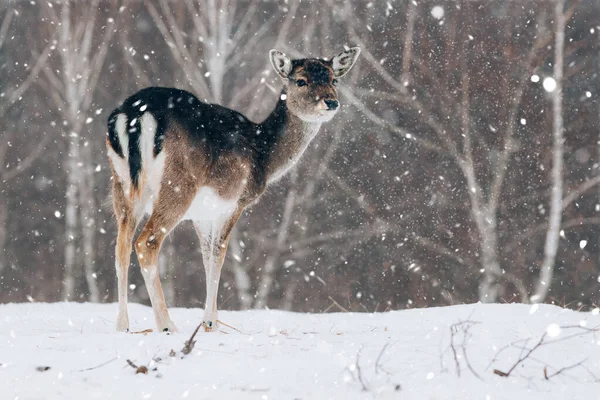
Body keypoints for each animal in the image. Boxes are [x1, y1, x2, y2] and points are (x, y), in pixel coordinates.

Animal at [106, 47, 360, 332]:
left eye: (334, 79)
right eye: (300, 81)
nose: (331, 102)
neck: (263, 155)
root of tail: (133, 116)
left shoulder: (202, 213)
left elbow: (207, 255)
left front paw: (211, 321)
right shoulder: (234, 202)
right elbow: (219, 253)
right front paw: (210, 323)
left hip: (122, 185)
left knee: (121, 246)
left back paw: (122, 325)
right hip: (178, 186)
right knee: (146, 242)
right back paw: (167, 325)